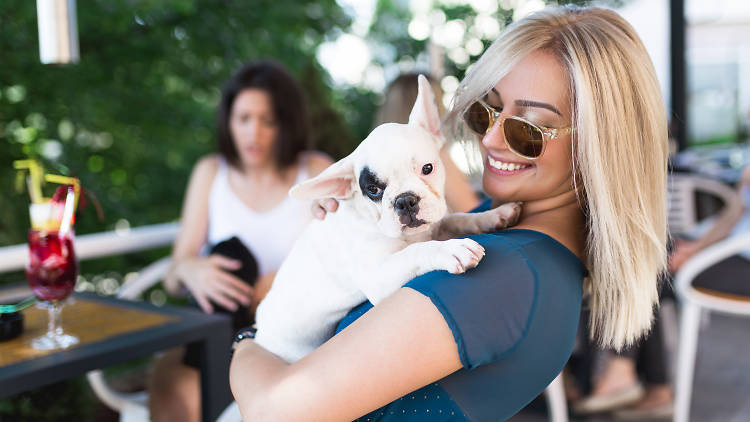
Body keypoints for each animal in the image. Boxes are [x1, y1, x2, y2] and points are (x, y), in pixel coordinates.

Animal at [254, 76, 524, 362]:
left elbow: (458, 219)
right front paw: (452, 249)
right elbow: (417, 251)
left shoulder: (434, 225)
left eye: (427, 168)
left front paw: (493, 215)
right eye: (373, 189)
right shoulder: (379, 275)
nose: (405, 200)